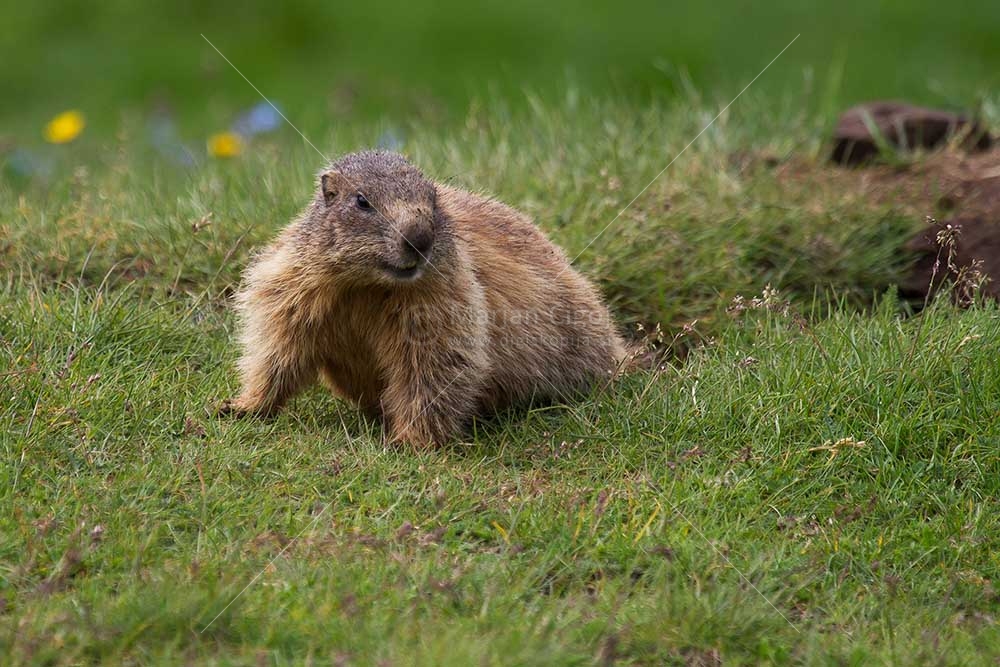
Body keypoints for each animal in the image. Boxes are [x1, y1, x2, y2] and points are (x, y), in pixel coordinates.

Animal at [221, 150, 627, 446]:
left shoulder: (445, 294)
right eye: (362, 201)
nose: (419, 238)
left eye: (432, 199)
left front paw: (410, 440)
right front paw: (242, 406)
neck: (366, 287)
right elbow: (278, 341)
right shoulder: (294, 281)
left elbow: (434, 361)